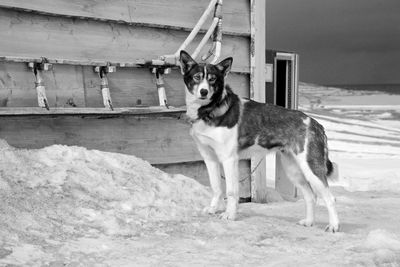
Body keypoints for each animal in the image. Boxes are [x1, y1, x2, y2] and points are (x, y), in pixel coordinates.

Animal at [180, 50, 340, 232]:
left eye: (212, 79)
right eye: (197, 77)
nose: (204, 92)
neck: (209, 110)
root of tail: (316, 124)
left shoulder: (229, 159)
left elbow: (231, 191)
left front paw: (230, 215)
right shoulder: (210, 158)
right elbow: (216, 188)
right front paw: (213, 209)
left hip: (311, 168)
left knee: (329, 198)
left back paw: (333, 226)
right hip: (293, 170)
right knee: (310, 195)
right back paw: (309, 221)